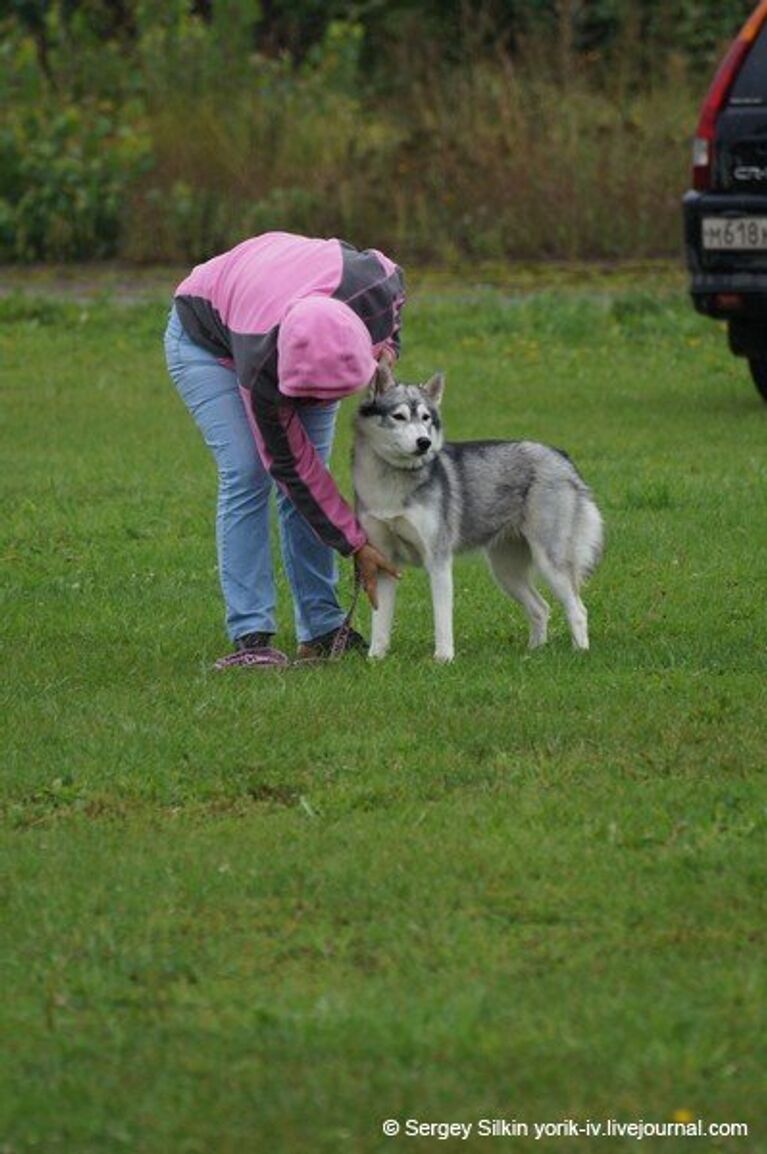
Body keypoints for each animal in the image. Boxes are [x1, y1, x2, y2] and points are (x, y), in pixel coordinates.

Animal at [352, 364, 604, 664]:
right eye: (398, 416)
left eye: (426, 418)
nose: (424, 442)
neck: (390, 487)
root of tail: (561, 456)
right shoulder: (382, 561)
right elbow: (380, 621)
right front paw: (375, 658)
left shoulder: (438, 561)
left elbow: (442, 620)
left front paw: (443, 659)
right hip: (506, 571)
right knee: (540, 608)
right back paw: (533, 652)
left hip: (550, 563)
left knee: (578, 610)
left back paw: (581, 652)